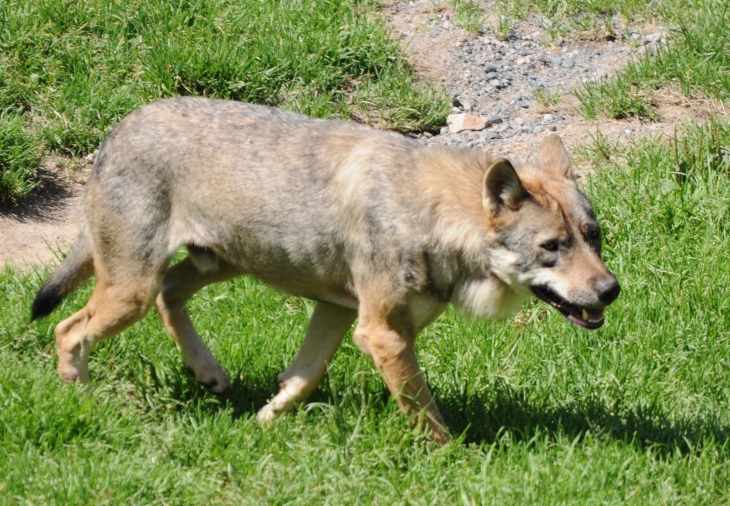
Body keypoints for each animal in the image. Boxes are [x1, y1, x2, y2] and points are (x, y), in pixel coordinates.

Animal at [31, 98, 616, 442]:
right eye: (552, 247)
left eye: (593, 237)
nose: (611, 290)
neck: (432, 216)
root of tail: (120, 127)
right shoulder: (382, 335)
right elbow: (429, 419)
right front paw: (457, 464)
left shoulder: (338, 313)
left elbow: (304, 377)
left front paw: (262, 424)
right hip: (131, 289)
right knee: (68, 330)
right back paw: (83, 403)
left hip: (214, 267)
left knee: (168, 297)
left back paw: (209, 373)